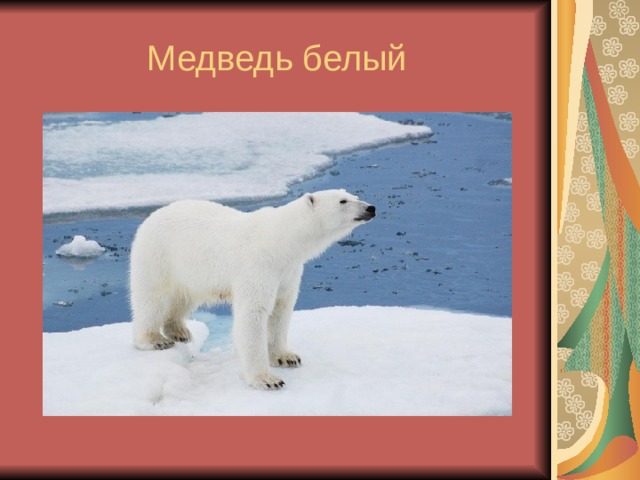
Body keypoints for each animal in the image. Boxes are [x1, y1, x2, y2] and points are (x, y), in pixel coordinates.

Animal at [129, 189, 376, 390]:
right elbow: (253, 314)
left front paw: (286, 357)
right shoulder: (258, 265)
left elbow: (281, 309)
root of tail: (151, 217)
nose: (370, 208)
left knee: (183, 298)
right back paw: (154, 339)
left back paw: (179, 331)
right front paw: (267, 379)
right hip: (159, 255)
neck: (279, 243)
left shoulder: (287, 271)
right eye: (343, 201)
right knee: (152, 297)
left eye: (354, 195)